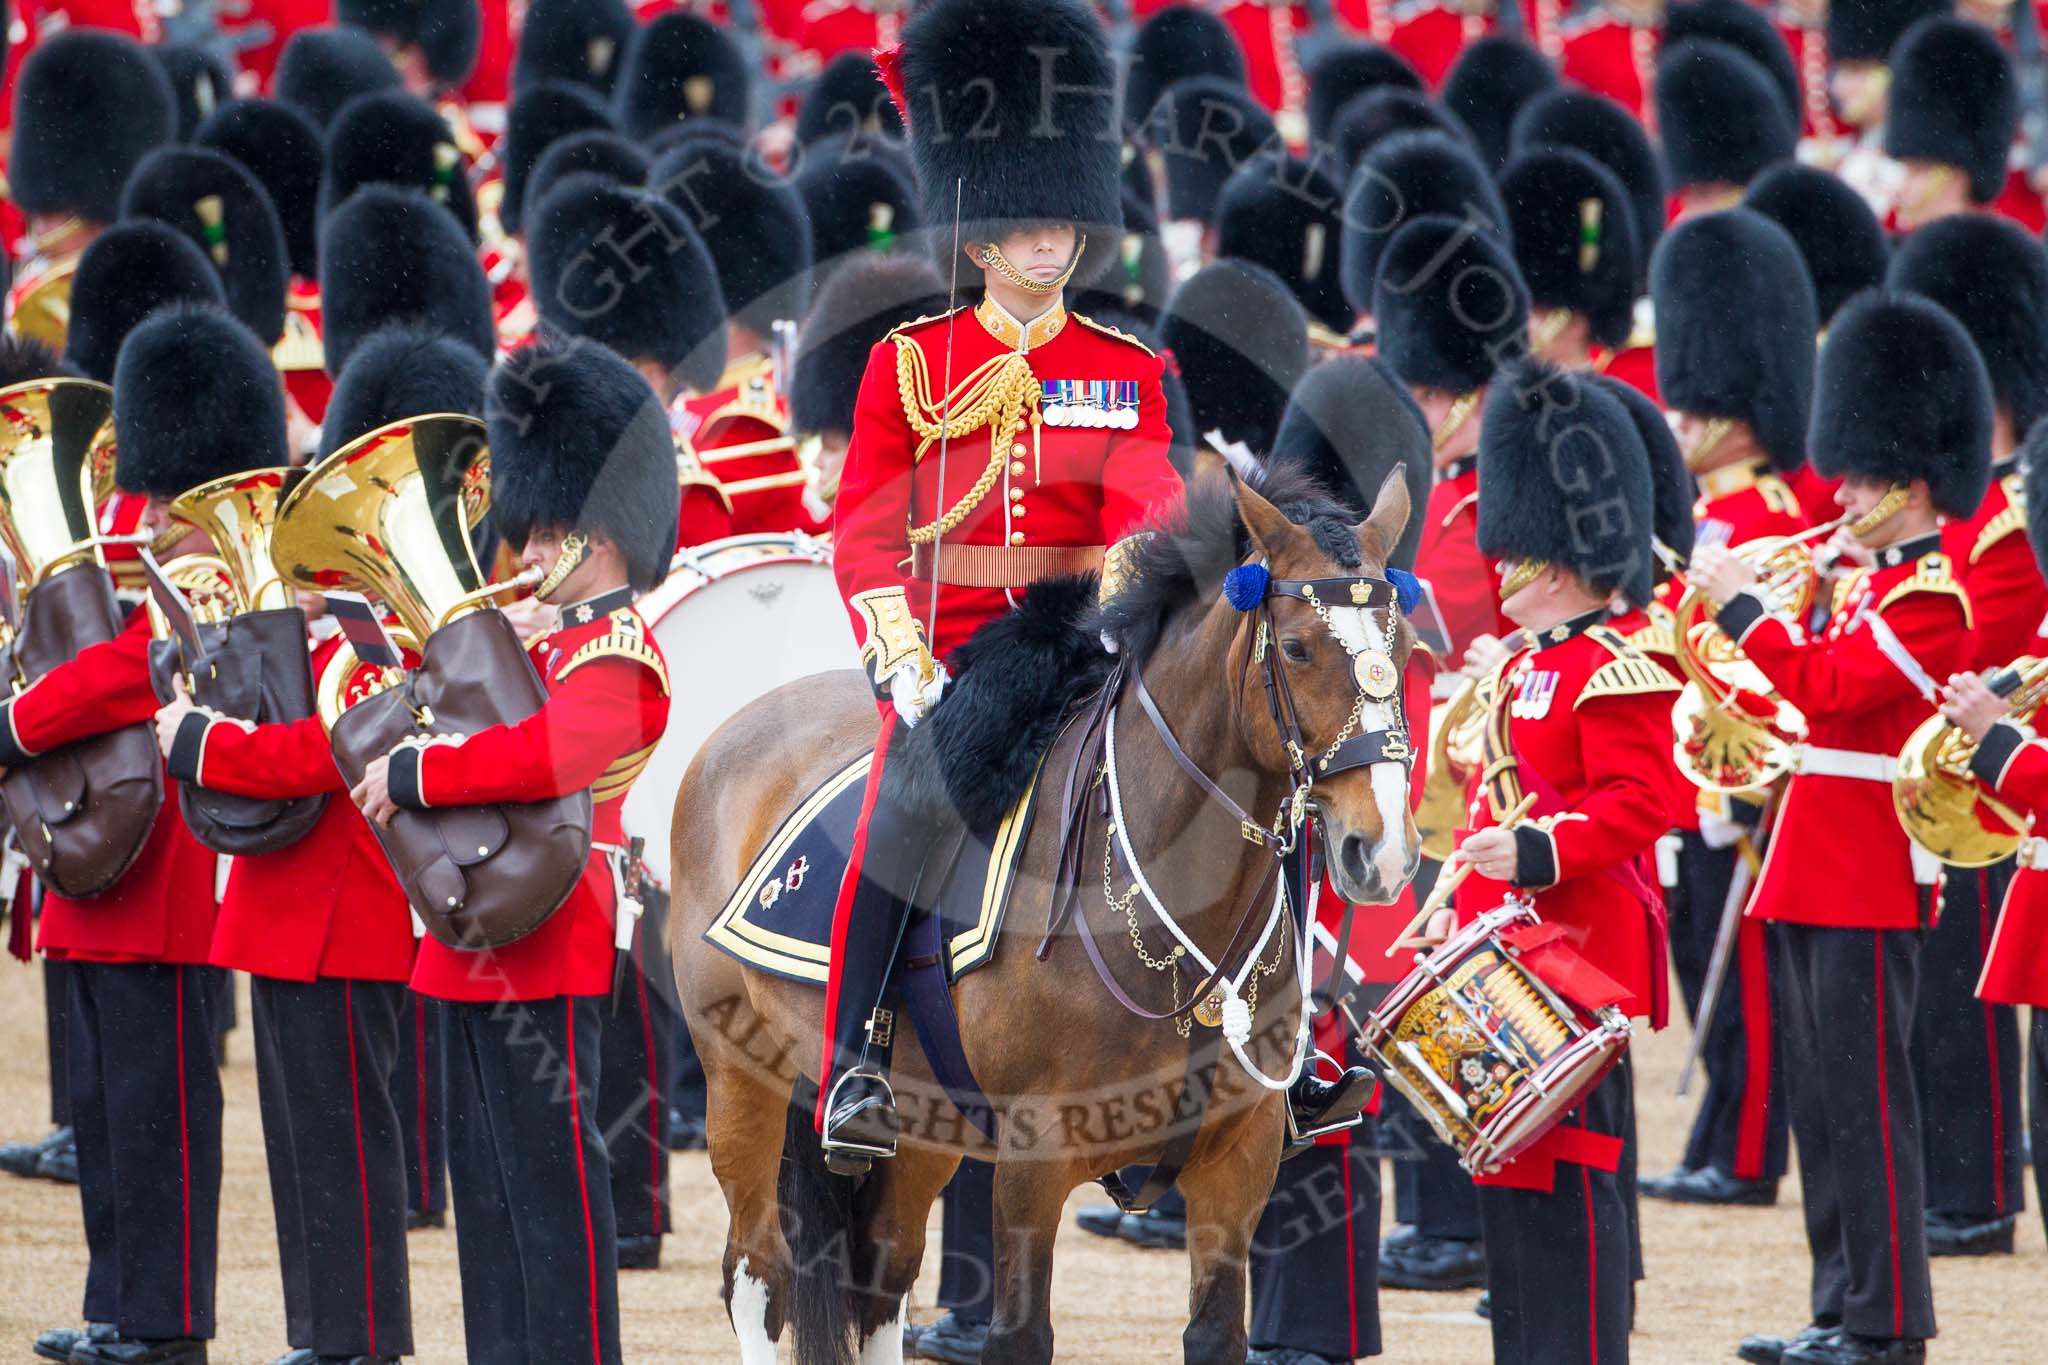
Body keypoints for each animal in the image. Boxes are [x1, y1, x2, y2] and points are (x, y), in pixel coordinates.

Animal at [671, 464, 1425, 1358]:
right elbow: (1020, 1334)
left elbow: (1215, 1333)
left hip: (919, 1126)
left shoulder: (1237, 1162)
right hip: (739, 1080)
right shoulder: (1034, 1159)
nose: (1383, 851)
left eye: (1404, 650)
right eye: (1302, 647)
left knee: (881, 1279)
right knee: (759, 1272)